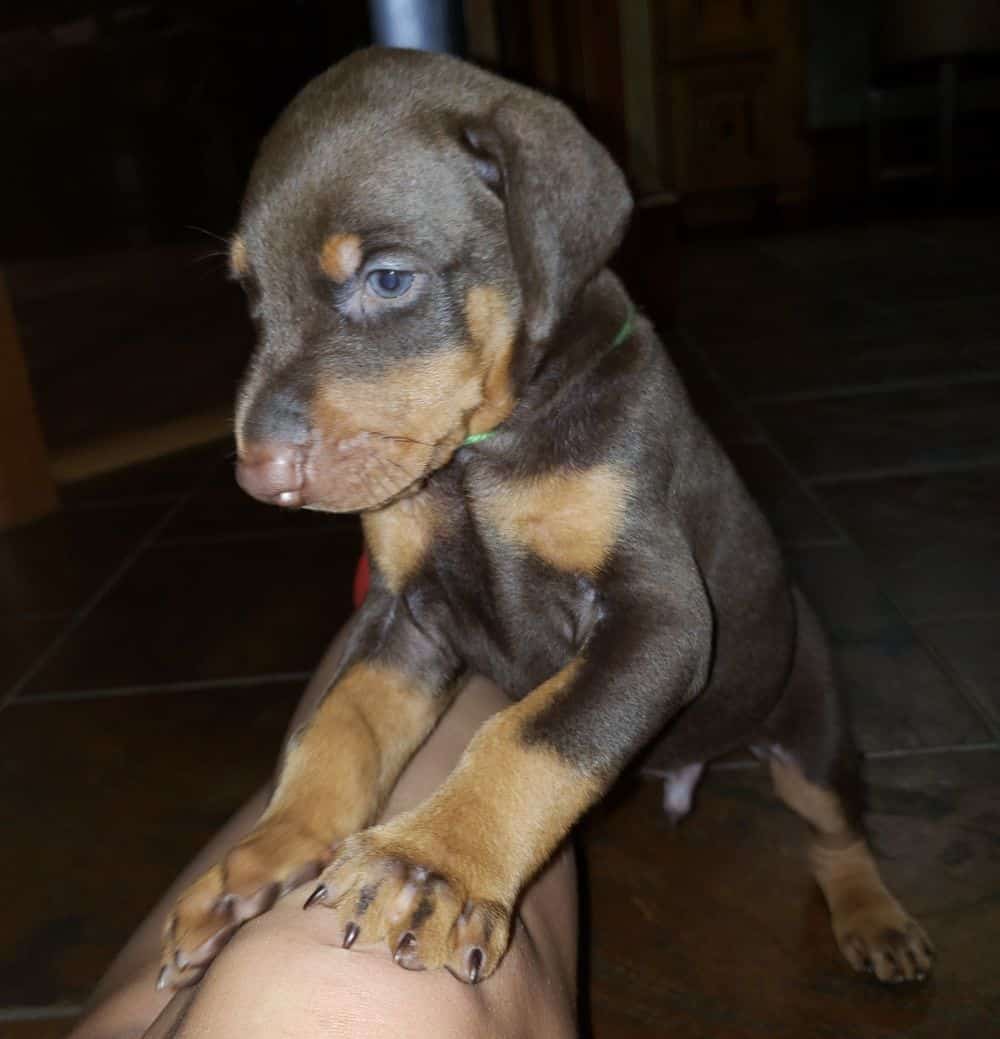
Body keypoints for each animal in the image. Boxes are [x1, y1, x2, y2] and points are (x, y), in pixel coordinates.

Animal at [155, 46, 927, 989]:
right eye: (250, 296)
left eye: (387, 278)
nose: (257, 476)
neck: (483, 452)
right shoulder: (404, 615)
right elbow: (338, 726)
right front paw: (265, 853)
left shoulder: (660, 618)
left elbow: (535, 732)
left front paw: (431, 865)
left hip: (806, 709)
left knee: (834, 823)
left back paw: (874, 917)